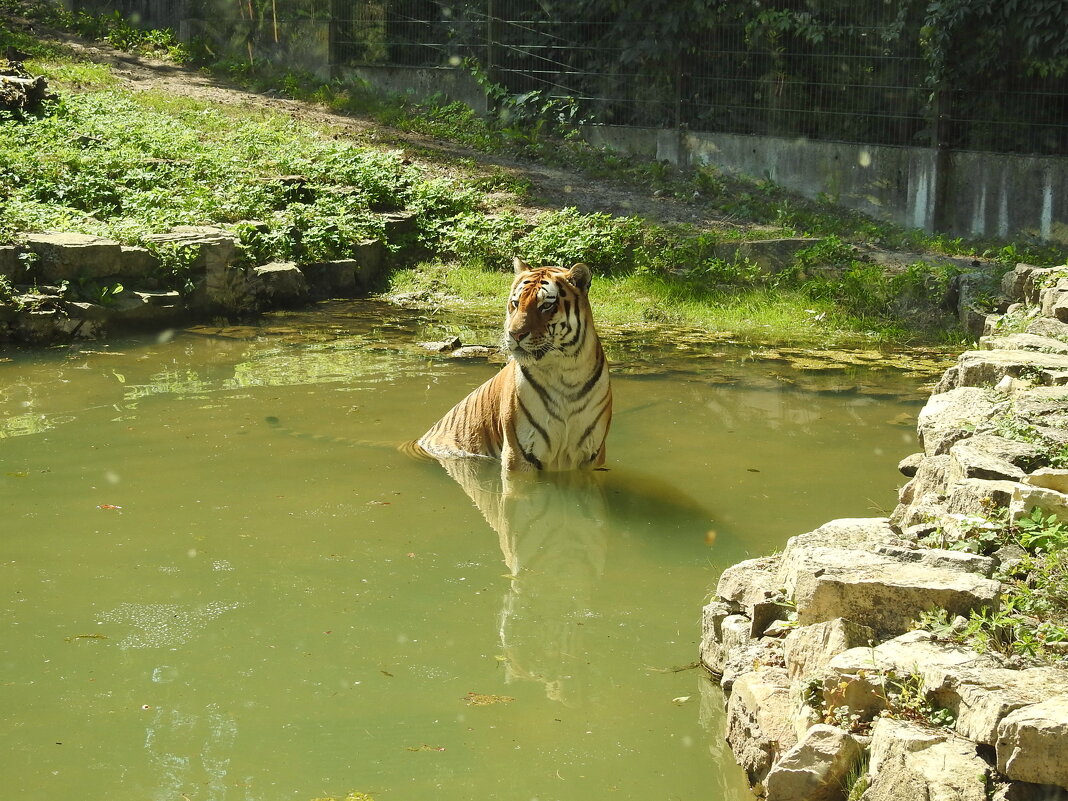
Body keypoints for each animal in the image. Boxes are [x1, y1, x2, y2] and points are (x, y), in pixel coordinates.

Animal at [418, 258, 619, 469]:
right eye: (515, 303)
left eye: (545, 306)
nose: (514, 334)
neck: (565, 372)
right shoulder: (521, 454)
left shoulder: (592, 454)